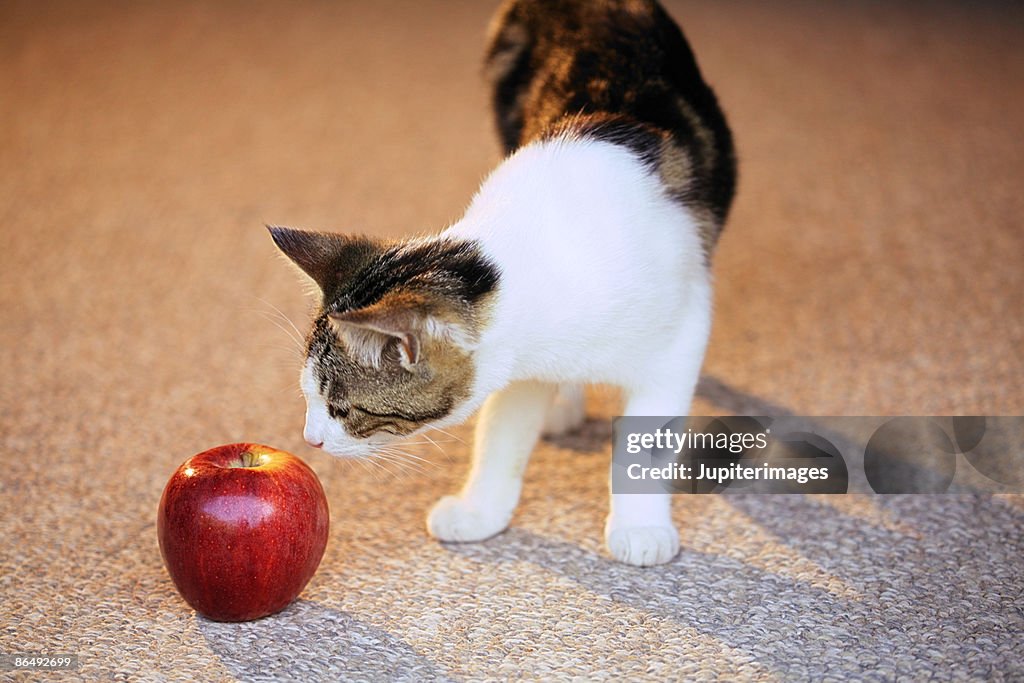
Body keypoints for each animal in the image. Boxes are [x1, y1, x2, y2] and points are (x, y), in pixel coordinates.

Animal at [270, 0, 737, 565]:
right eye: (309, 398)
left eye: (343, 409)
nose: (309, 439)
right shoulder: (518, 365)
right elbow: (501, 435)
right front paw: (482, 511)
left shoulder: (683, 330)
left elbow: (645, 437)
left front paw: (641, 526)